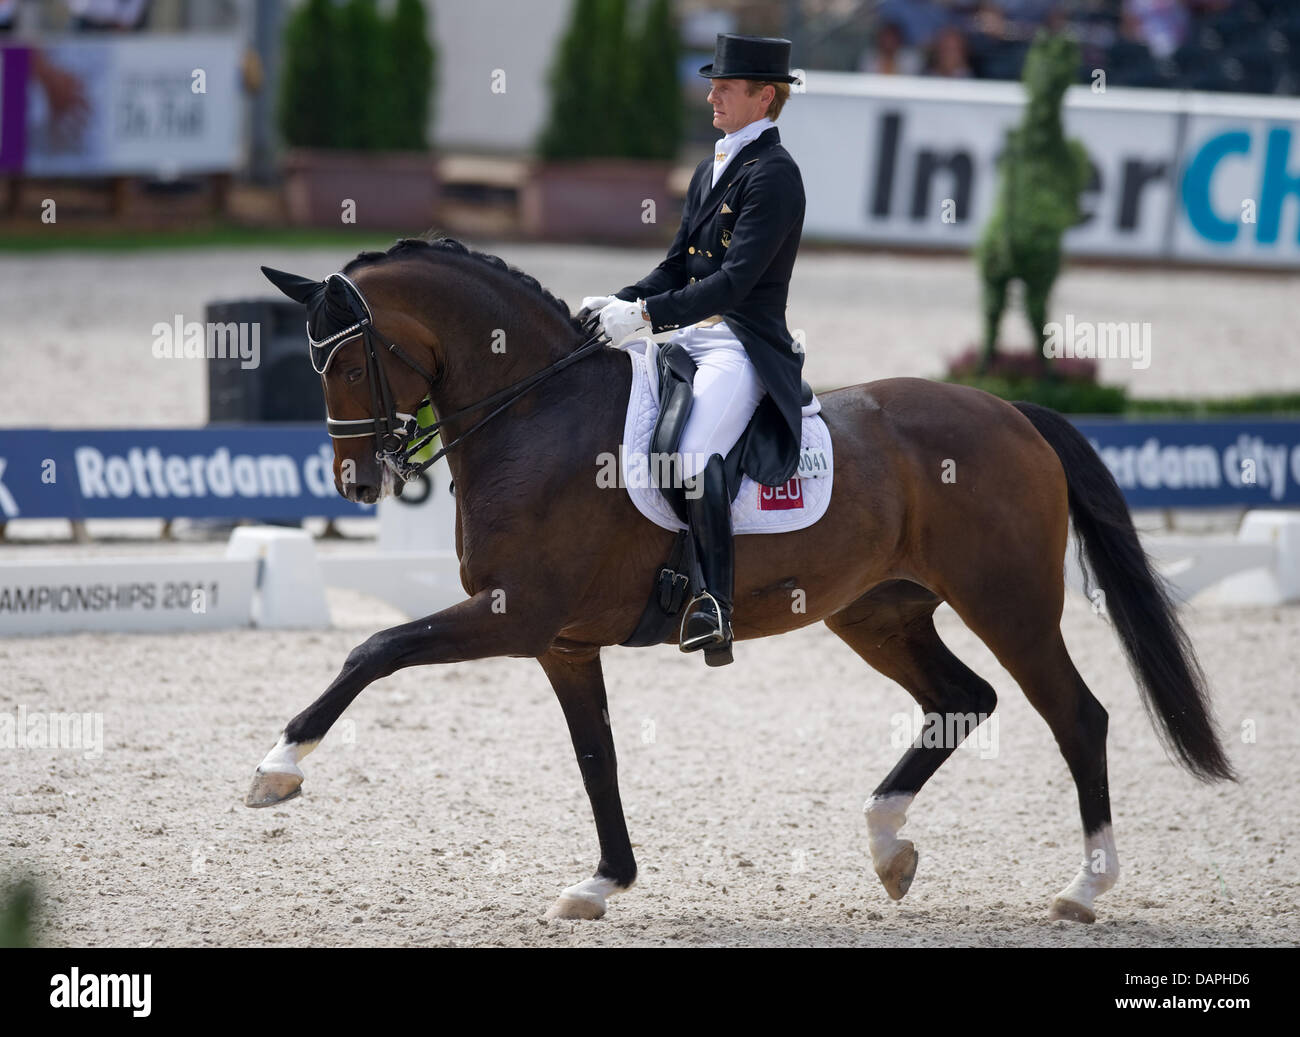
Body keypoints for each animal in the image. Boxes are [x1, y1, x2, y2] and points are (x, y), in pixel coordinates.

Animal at [247, 236, 1235, 924]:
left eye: (348, 360)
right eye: (315, 364)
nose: (358, 483)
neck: (537, 414)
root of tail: (1015, 413)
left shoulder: (512, 613)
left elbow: (375, 648)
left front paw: (276, 769)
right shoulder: (560, 643)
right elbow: (598, 757)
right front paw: (601, 883)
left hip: (1010, 603)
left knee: (1076, 715)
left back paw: (1083, 888)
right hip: (878, 614)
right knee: (964, 698)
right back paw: (889, 845)